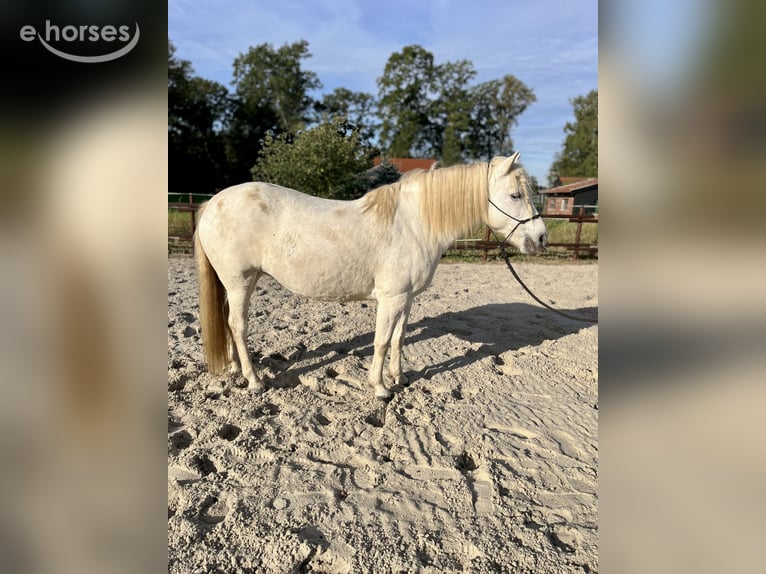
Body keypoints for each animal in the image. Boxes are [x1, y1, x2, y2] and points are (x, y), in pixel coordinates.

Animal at [194, 152, 547, 399]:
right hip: (240, 282)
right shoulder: (390, 299)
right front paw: (380, 388)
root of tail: (212, 203)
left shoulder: (406, 299)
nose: (541, 238)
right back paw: (254, 381)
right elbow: (380, 341)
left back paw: (236, 369)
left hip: (235, 284)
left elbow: (398, 339)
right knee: (238, 326)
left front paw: (400, 378)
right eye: (515, 195)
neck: (413, 224)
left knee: (228, 324)